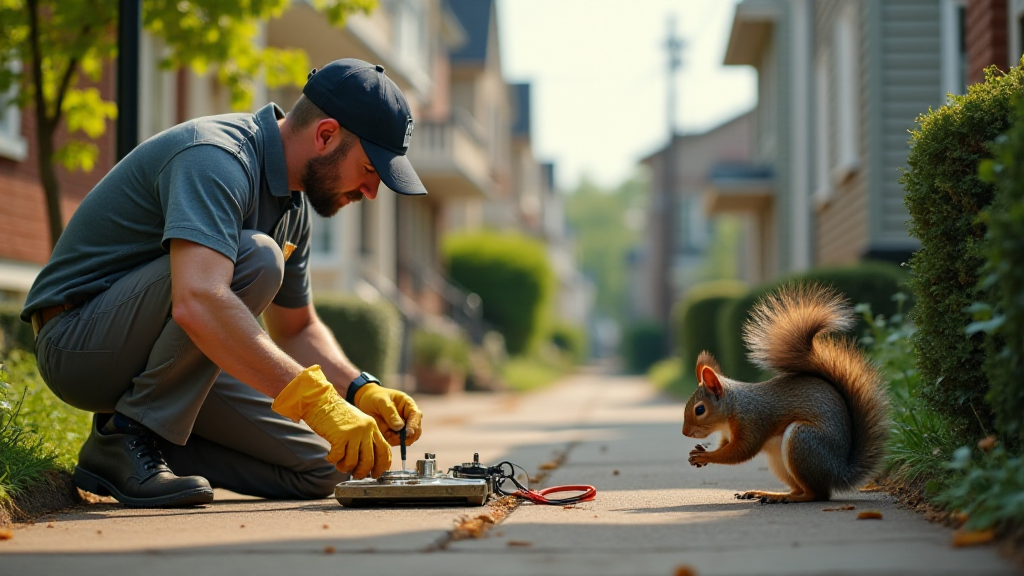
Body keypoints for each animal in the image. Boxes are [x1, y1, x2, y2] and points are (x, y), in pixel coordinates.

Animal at [684, 282, 892, 502]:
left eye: (699, 410)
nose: (685, 432)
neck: (732, 408)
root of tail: (838, 472)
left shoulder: (752, 421)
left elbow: (740, 452)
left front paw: (705, 455)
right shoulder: (728, 434)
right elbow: (725, 446)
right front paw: (699, 453)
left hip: (802, 442)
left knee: (816, 494)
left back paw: (788, 498)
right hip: (780, 462)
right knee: (799, 488)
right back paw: (769, 494)